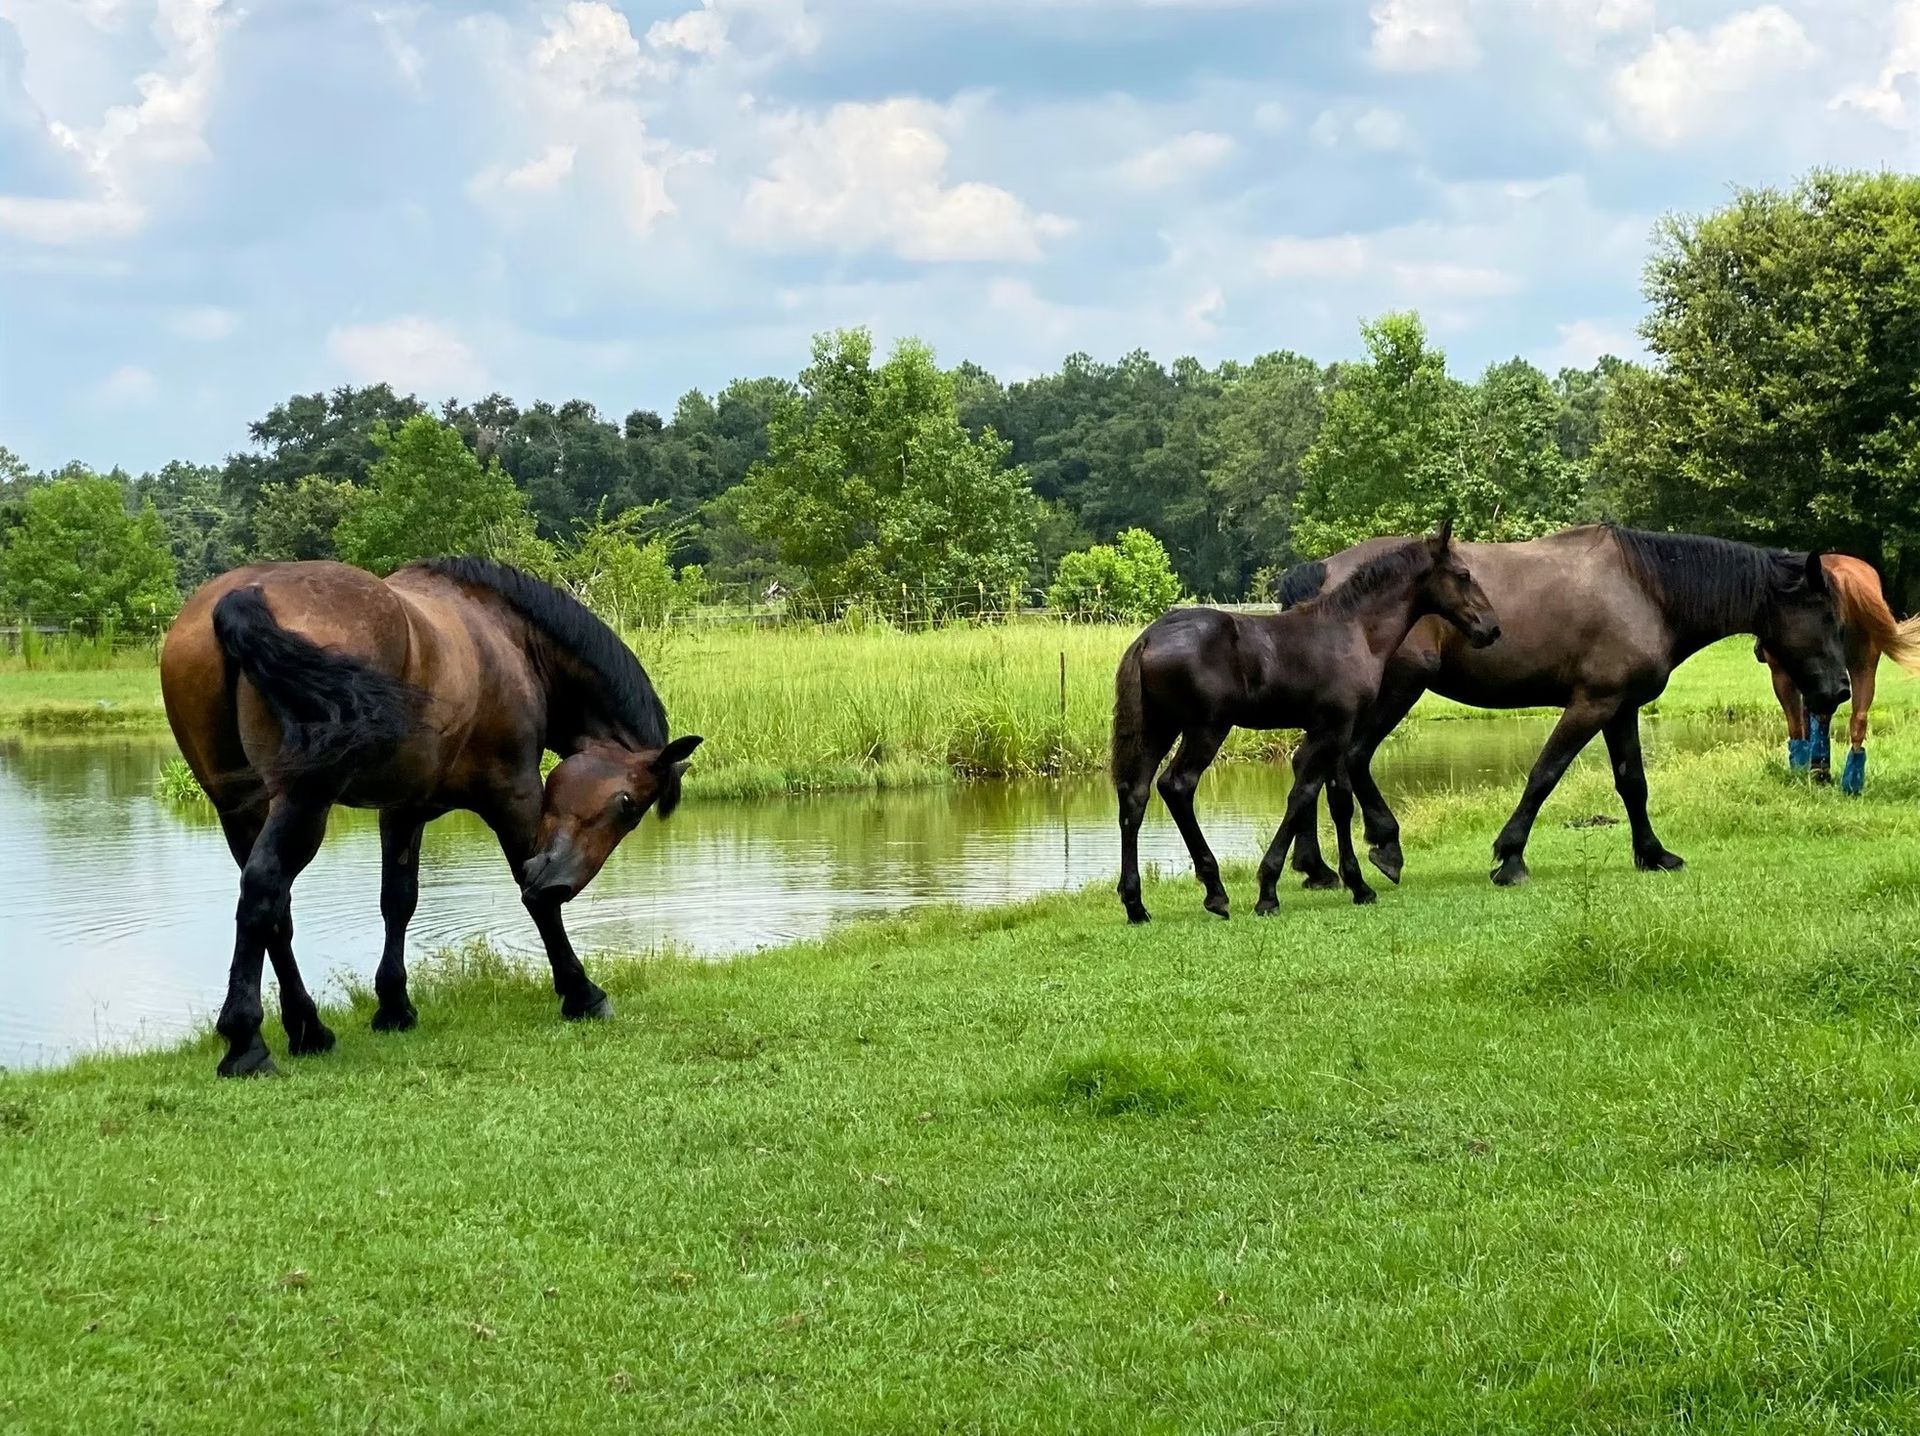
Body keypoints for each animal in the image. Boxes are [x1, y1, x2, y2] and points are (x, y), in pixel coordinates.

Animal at [161, 557, 704, 1078]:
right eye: (628, 806)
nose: (563, 881)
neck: (506, 638)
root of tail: (243, 596)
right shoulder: (515, 795)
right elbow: (535, 900)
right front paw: (582, 993)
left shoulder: (403, 810)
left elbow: (398, 901)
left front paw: (394, 1006)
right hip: (303, 802)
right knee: (264, 890)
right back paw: (247, 1044)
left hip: (240, 808)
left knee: (276, 912)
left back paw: (308, 1029)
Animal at [1111, 522, 1500, 924]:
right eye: (1464, 575)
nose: (1491, 628)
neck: (1354, 630)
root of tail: (1147, 639)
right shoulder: (1335, 727)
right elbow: (1306, 794)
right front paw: (1272, 891)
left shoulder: (1330, 731)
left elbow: (1336, 800)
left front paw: (1354, 883)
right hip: (1206, 729)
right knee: (1177, 785)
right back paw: (1215, 892)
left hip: (1159, 728)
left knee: (1135, 793)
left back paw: (1135, 903)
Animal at [1272, 525, 1851, 890]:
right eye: (1826, 614)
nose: (1841, 690)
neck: (1644, 589)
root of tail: (1323, 572)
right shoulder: (1591, 705)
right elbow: (1545, 774)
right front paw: (1510, 857)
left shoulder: (1621, 708)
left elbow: (1632, 783)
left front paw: (1653, 853)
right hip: (1397, 691)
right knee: (1350, 760)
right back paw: (1384, 846)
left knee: (1309, 765)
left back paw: (1316, 868)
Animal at [1754, 554, 1920, 793]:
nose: (1758, 650)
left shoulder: (1784, 676)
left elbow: (1796, 721)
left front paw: (1801, 767)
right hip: (1864, 667)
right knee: (1858, 719)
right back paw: (1850, 781)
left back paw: (1815, 771)